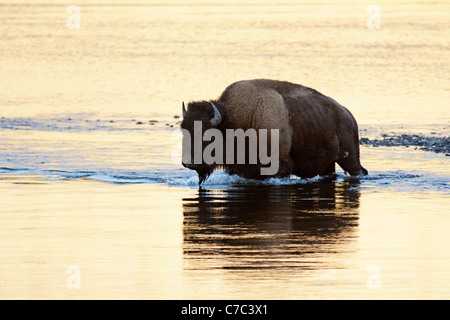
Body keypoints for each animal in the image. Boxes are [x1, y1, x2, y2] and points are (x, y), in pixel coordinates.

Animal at [181, 79, 368, 185]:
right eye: (184, 131)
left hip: (349, 158)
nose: (188, 163)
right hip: (328, 164)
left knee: (359, 171)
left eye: (207, 135)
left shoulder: (278, 168)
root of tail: (347, 114)